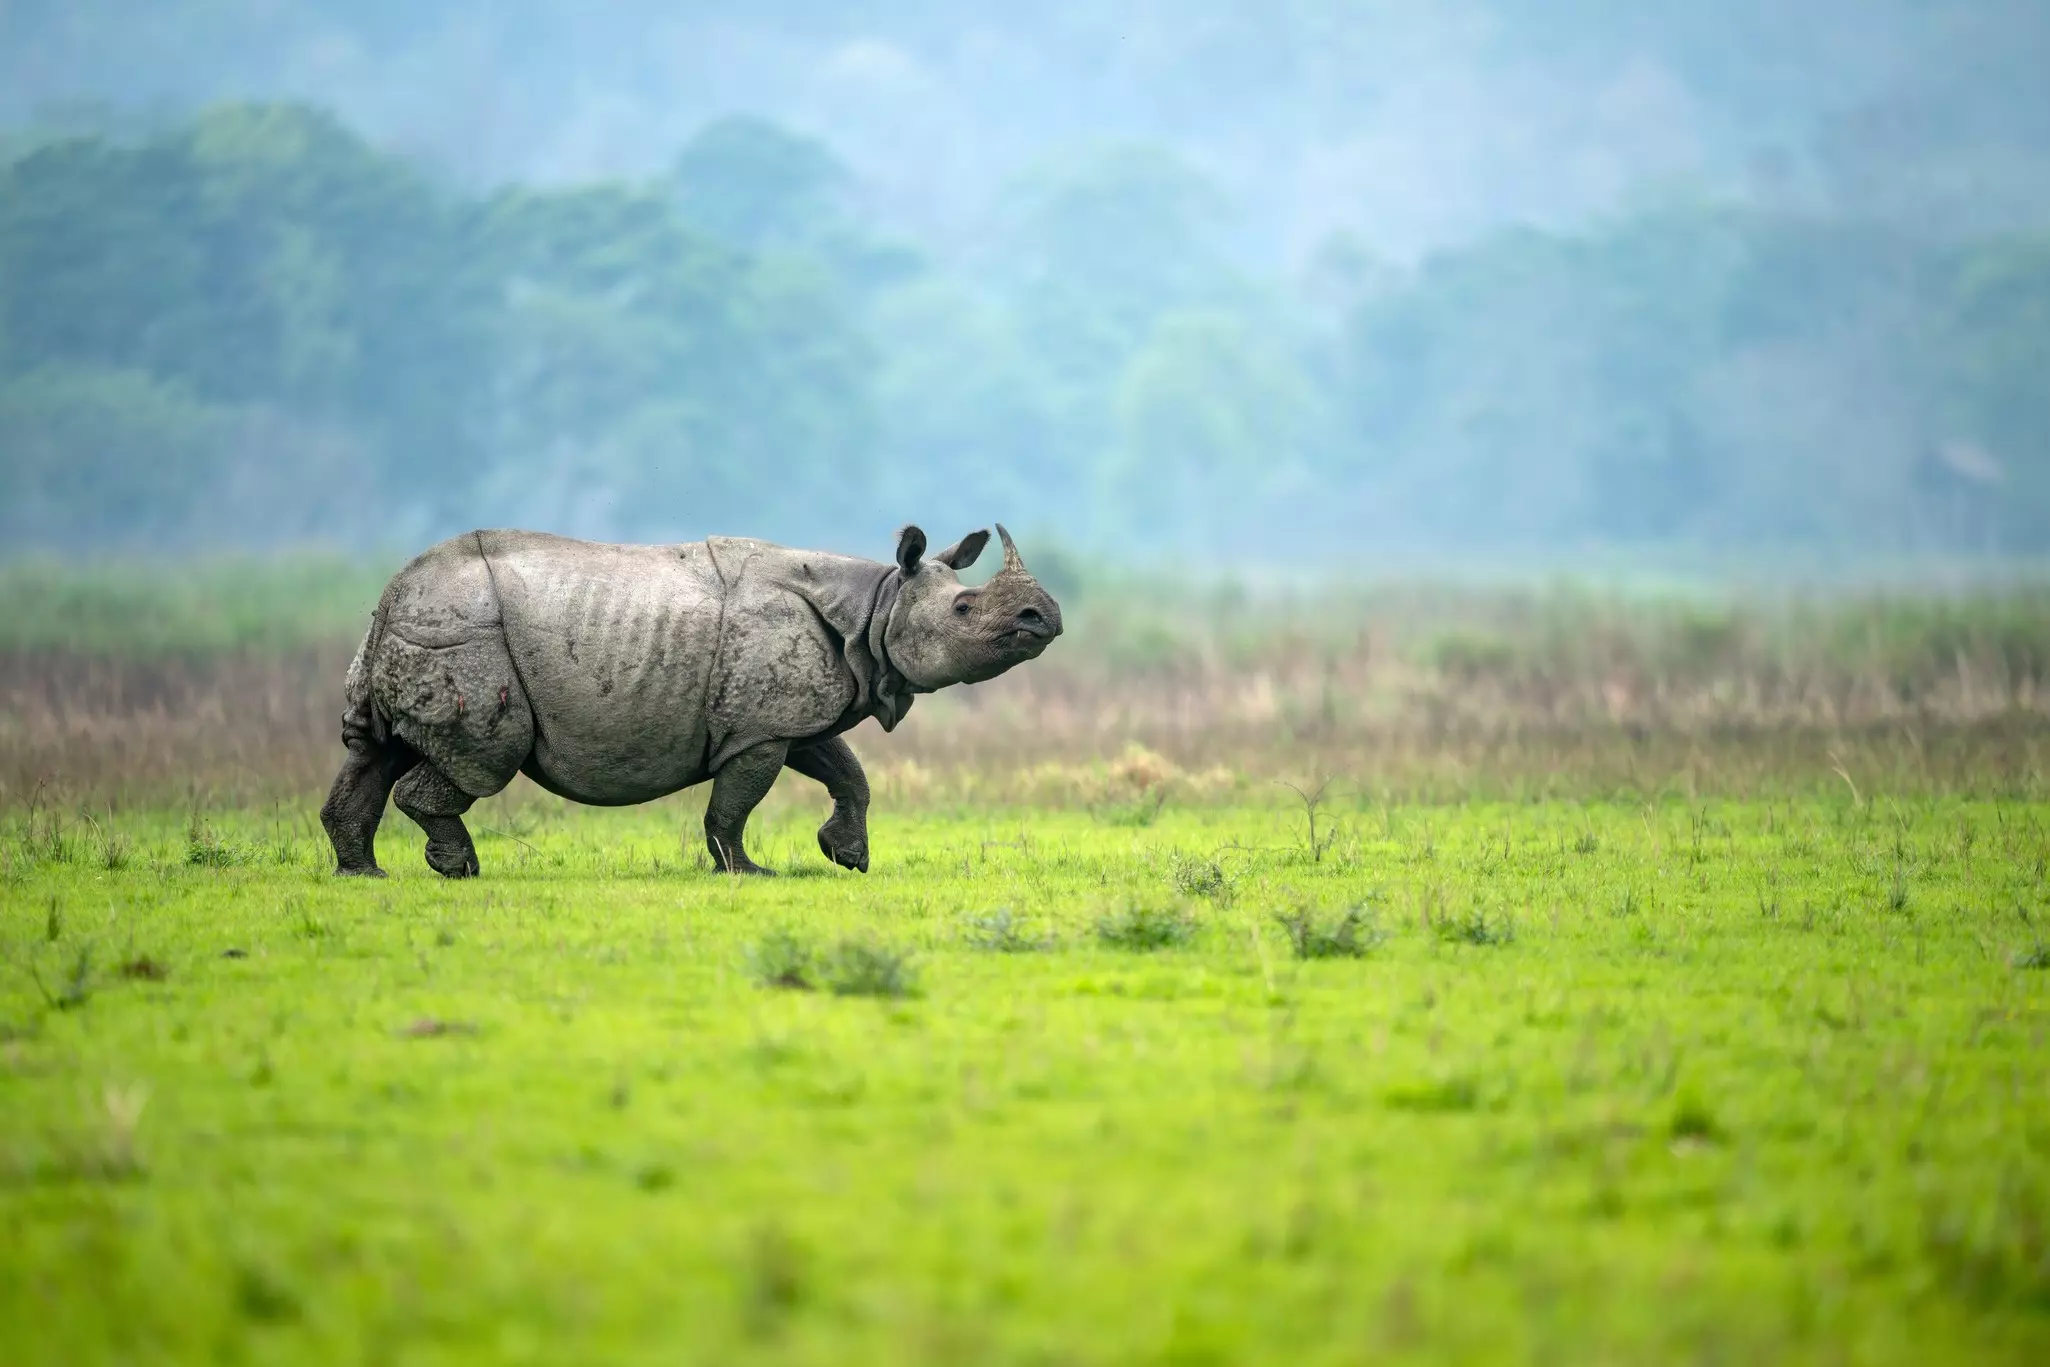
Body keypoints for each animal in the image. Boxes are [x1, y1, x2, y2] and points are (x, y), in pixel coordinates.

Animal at [318, 524, 1061, 878]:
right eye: (966, 609)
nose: (1043, 618)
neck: (875, 605)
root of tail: (390, 594)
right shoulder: (760, 729)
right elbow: (734, 804)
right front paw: (749, 871)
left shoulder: (786, 713)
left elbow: (847, 771)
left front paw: (845, 856)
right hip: (466, 635)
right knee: (485, 759)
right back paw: (460, 870)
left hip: (416, 628)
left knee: (377, 750)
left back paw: (366, 874)